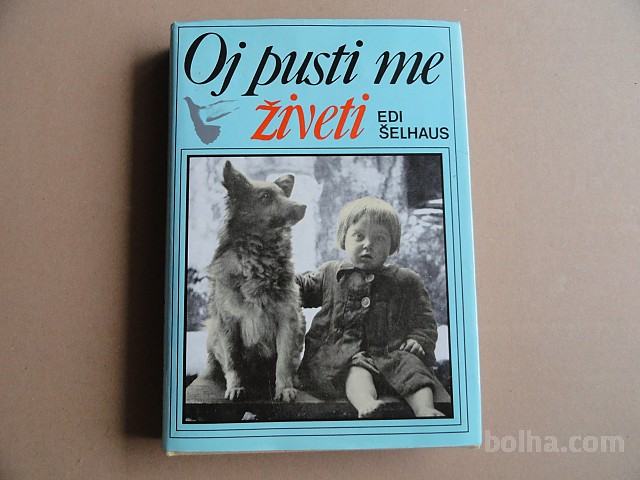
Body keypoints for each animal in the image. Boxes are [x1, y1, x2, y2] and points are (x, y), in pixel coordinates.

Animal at [201, 161, 306, 402]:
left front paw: (284, 388)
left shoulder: (288, 317)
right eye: (265, 196)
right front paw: (235, 387)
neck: (260, 259)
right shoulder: (227, 322)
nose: (303, 206)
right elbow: (233, 360)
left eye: (282, 194)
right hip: (212, 331)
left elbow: (284, 361)